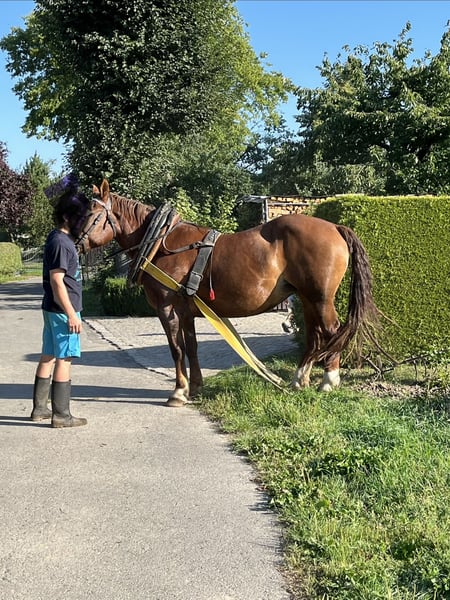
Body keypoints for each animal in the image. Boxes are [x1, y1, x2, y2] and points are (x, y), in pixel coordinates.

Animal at [77, 179, 379, 406]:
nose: (75, 242)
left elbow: (176, 349)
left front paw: (178, 392)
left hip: (319, 297)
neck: (160, 244)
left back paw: (328, 380)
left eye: (92, 215)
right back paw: (299, 378)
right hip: (307, 298)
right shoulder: (187, 311)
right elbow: (192, 347)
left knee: (332, 330)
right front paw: (196, 387)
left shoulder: (167, 309)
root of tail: (335, 227)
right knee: (315, 334)